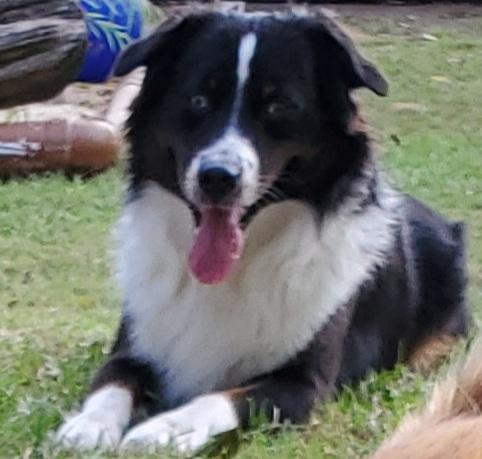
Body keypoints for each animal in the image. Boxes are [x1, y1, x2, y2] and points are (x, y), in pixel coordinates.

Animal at [56, 10, 469, 454]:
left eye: (278, 105)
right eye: (198, 100)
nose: (217, 178)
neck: (238, 265)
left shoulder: (304, 386)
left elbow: (219, 398)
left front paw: (166, 430)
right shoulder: (135, 343)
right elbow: (111, 380)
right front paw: (89, 424)